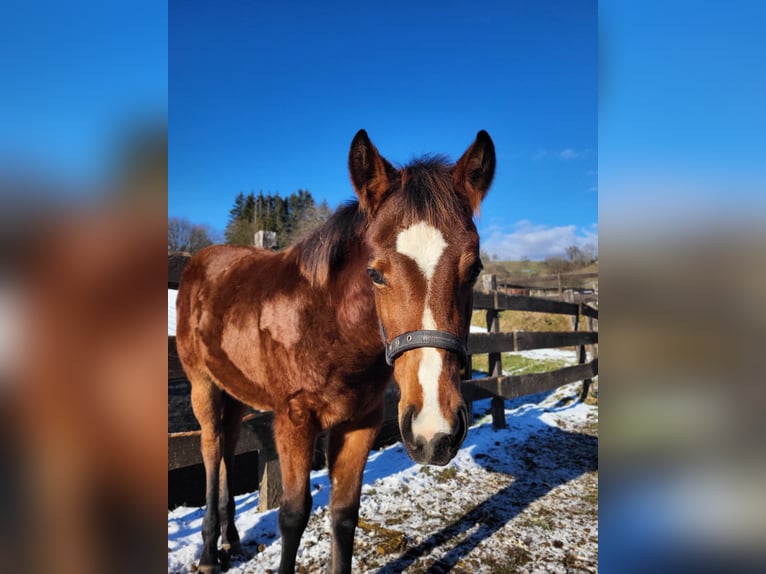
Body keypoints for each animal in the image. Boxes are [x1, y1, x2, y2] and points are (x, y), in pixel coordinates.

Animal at [175, 129, 495, 573]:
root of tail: (198, 262)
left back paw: (231, 538)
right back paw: (208, 552)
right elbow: (293, 515)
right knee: (210, 448)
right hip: (201, 383)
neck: (328, 325)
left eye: (474, 269)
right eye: (375, 273)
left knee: (227, 444)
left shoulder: (361, 421)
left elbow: (344, 514)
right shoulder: (293, 421)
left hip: (234, 391)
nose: (434, 432)